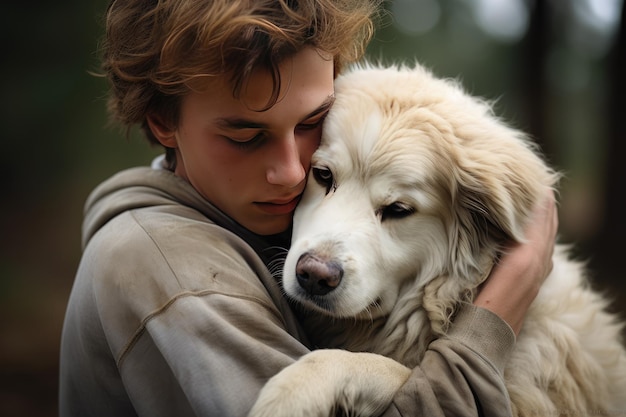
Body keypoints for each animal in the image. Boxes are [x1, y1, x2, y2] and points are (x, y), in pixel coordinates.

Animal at [247, 62, 624, 416]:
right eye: (323, 175)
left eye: (399, 209)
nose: (314, 275)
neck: (446, 304)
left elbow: (384, 367)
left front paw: (295, 390)